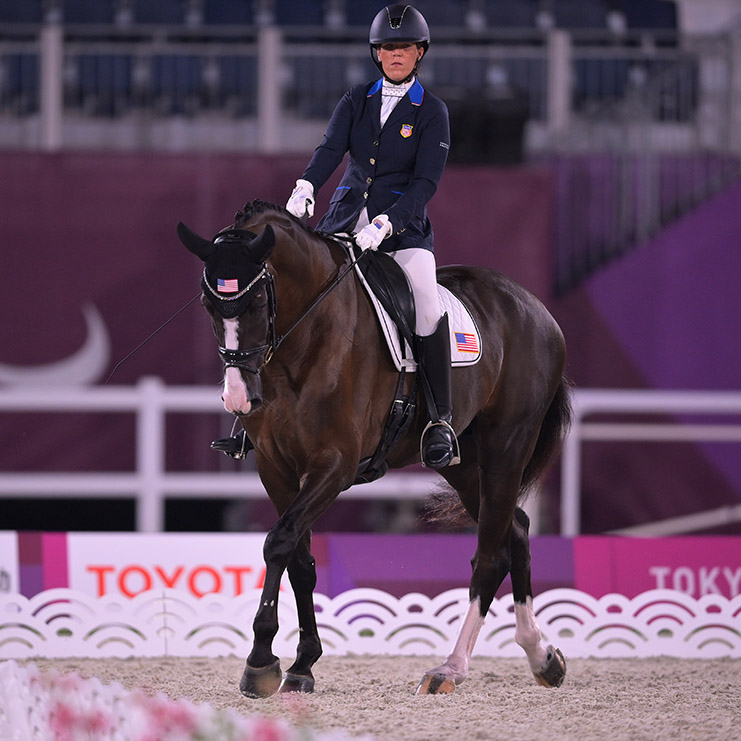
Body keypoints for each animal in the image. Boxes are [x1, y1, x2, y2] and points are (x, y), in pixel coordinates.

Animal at [176, 197, 568, 692]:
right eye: (208, 303)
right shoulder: (275, 466)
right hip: (463, 462)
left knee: (491, 553)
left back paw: (450, 668)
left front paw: (261, 660)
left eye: (260, 299)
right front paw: (302, 664)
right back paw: (541, 656)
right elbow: (299, 556)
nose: (238, 397)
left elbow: (279, 541)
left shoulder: (336, 464)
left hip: (506, 447)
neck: (305, 340)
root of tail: (537, 308)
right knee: (514, 528)